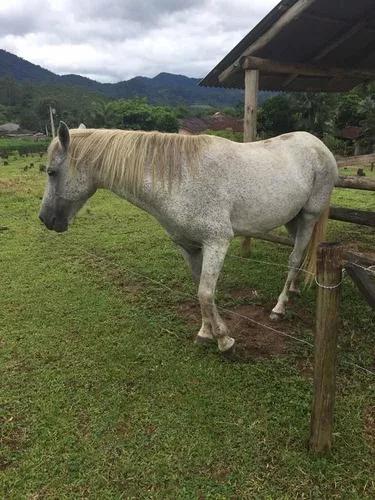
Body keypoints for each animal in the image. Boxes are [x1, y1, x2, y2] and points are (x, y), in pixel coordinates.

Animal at [39, 122, 340, 354]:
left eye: (51, 172)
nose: (45, 219)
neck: (180, 180)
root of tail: (318, 144)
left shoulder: (217, 242)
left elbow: (205, 293)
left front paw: (224, 340)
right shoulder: (188, 246)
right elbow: (200, 290)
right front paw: (206, 332)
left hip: (309, 216)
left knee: (295, 257)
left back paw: (279, 307)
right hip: (293, 219)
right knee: (302, 254)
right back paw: (294, 290)